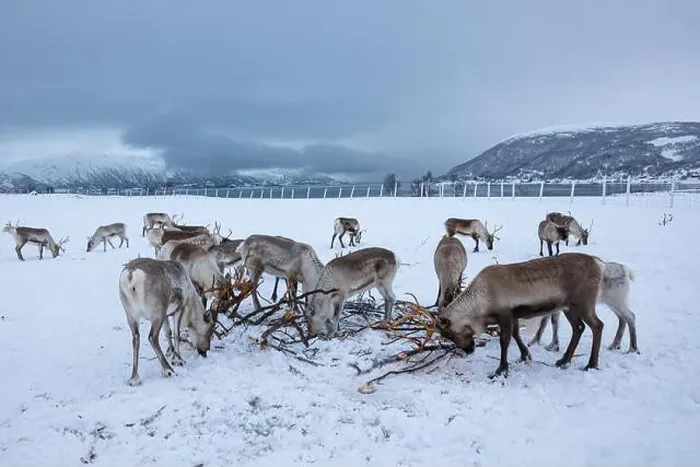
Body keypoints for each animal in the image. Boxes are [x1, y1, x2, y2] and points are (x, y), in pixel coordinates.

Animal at [118, 257, 218, 386]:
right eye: (210, 330)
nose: (204, 352)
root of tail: (131, 276)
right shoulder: (179, 308)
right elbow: (176, 333)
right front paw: (178, 360)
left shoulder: (166, 315)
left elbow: (168, 332)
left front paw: (171, 352)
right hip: (157, 312)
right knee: (152, 337)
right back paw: (168, 370)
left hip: (131, 314)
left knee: (136, 338)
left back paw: (134, 378)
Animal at [436, 252, 610, 379]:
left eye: (451, 334)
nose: (469, 349)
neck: (481, 302)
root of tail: (599, 263)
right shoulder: (514, 315)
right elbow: (516, 334)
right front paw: (525, 355)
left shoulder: (505, 315)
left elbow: (504, 341)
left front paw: (501, 370)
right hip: (569, 308)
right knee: (579, 328)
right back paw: (564, 361)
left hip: (583, 304)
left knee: (598, 325)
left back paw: (591, 364)